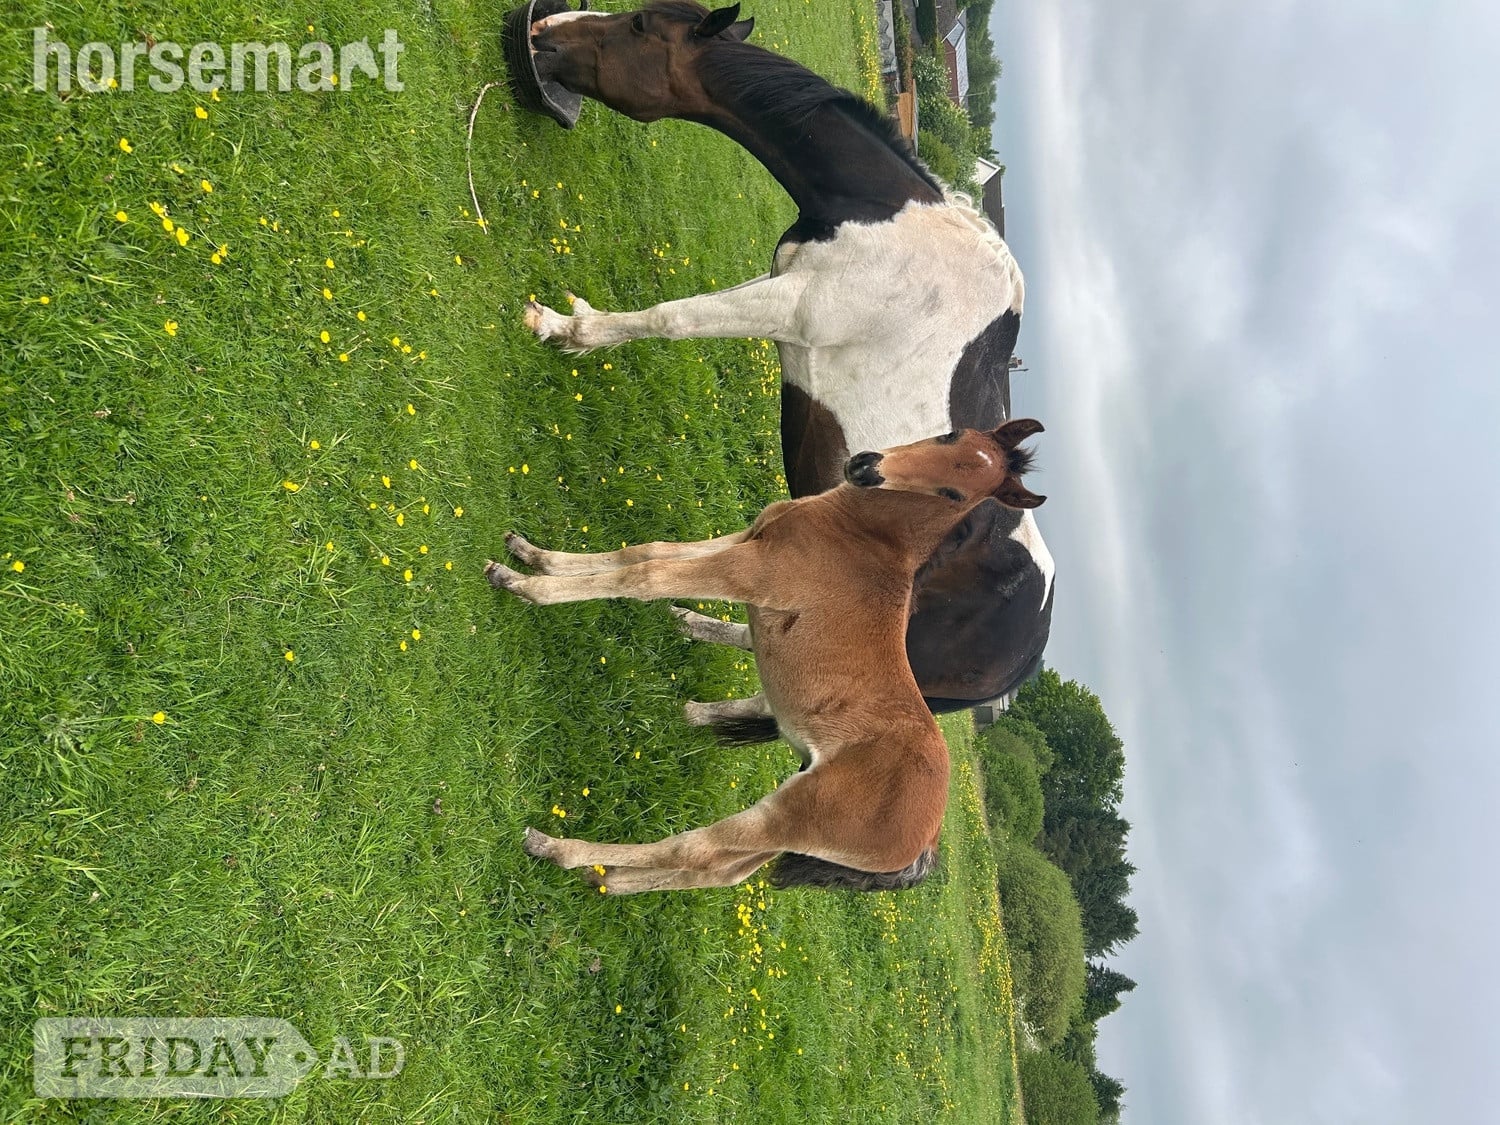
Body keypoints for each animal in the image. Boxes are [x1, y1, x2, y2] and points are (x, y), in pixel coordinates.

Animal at [486, 420, 1046, 893]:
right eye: (951, 435)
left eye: (955, 494)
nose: (866, 466)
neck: (860, 535)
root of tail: (927, 843)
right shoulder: (747, 538)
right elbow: (645, 551)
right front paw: (533, 555)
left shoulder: (751, 570)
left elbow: (644, 576)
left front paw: (524, 586)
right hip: (791, 828)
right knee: (719, 869)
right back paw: (611, 881)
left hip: (793, 813)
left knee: (697, 848)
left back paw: (559, 849)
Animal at [517, 1, 1055, 732]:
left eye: (637, 28)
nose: (543, 30)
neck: (887, 223)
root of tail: (1022, 663)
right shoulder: (779, 286)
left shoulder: (792, 307)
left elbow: (670, 318)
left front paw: (566, 329)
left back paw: (694, 710)